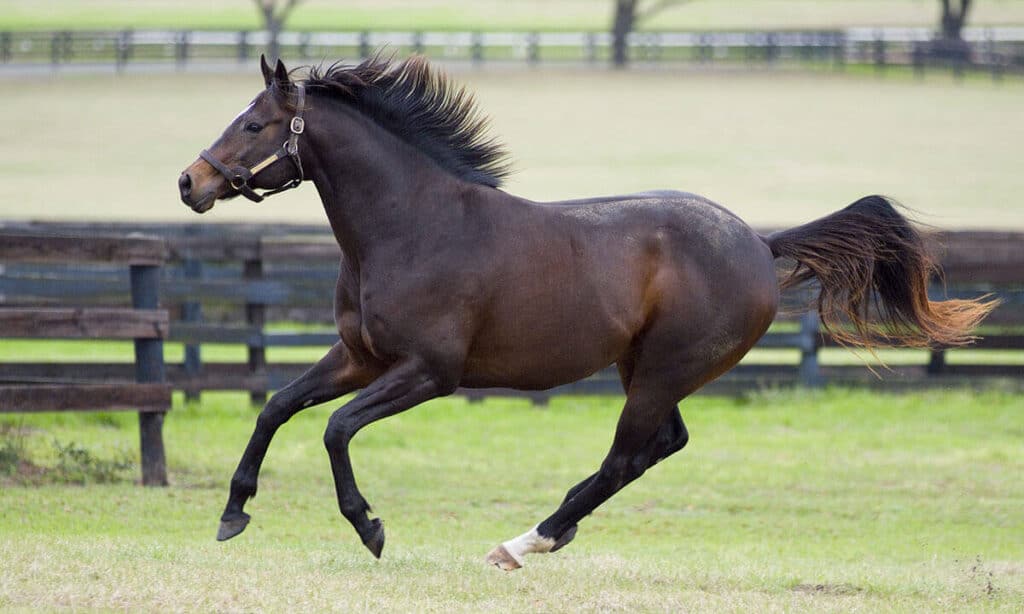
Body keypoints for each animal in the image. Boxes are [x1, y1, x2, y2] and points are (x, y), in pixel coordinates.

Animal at [180, 55, 995, 568]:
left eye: (254, 125)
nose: (190, 182)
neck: (412, 224)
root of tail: (761, 246)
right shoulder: (359, 357)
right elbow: (276, 406)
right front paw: (232, 514)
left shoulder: (428, 373)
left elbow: (335, 428)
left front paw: (370, 527)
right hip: (647, 369)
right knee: (660, 446)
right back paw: (547, 536)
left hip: (662, 369)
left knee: (628, 455)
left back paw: (524, 543)